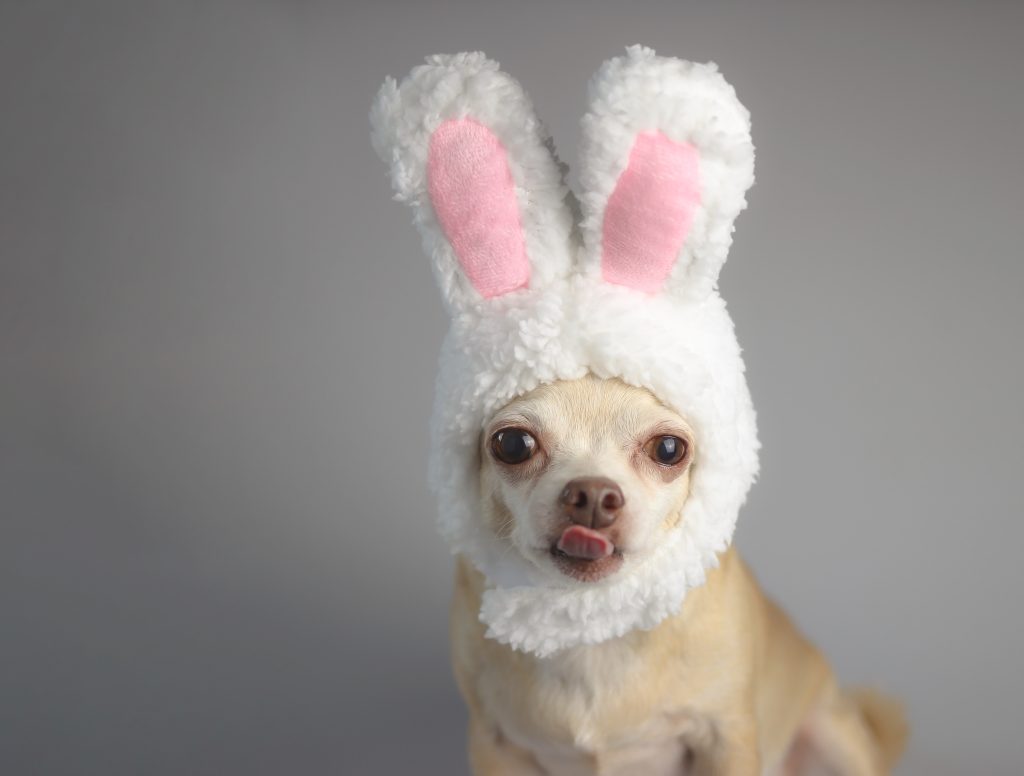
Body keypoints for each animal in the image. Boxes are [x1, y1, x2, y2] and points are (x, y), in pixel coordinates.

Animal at [448, 374, 905, 773]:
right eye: (513, 444)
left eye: (668, 449)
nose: (592, 493)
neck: (594, 623)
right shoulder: (493, 745)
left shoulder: (726, 739)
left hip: (831, 734)